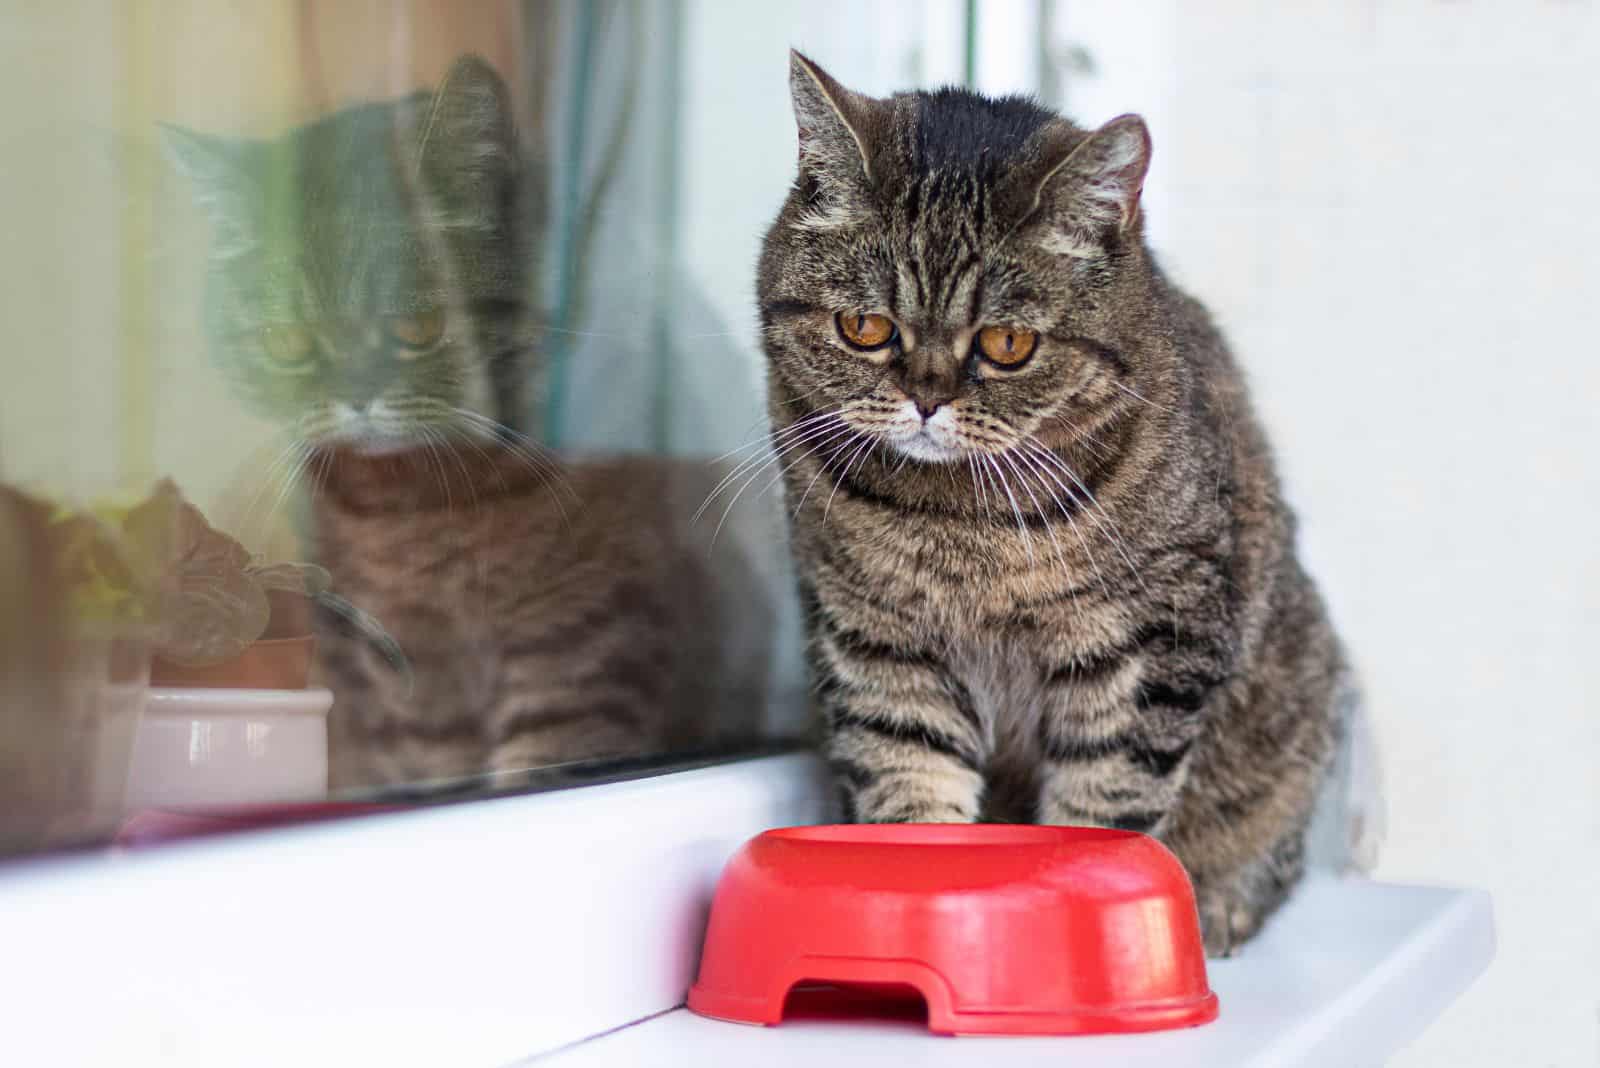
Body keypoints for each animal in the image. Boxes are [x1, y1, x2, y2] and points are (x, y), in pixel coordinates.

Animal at [167, 56, 768, 793]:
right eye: (288, 342)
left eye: (420, 325)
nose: (357, 397)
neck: (422, 505)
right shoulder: (413, 660)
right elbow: (437, 757)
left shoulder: (586, 634)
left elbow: (546, 757)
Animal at [761, 51, 1363, 952]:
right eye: (865, 327)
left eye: (1008, 344)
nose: (927, 398)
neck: (958, 525)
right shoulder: (878, 645)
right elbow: (910, 785)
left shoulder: (1153, 647)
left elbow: (1106, 811)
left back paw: (1219, 905)